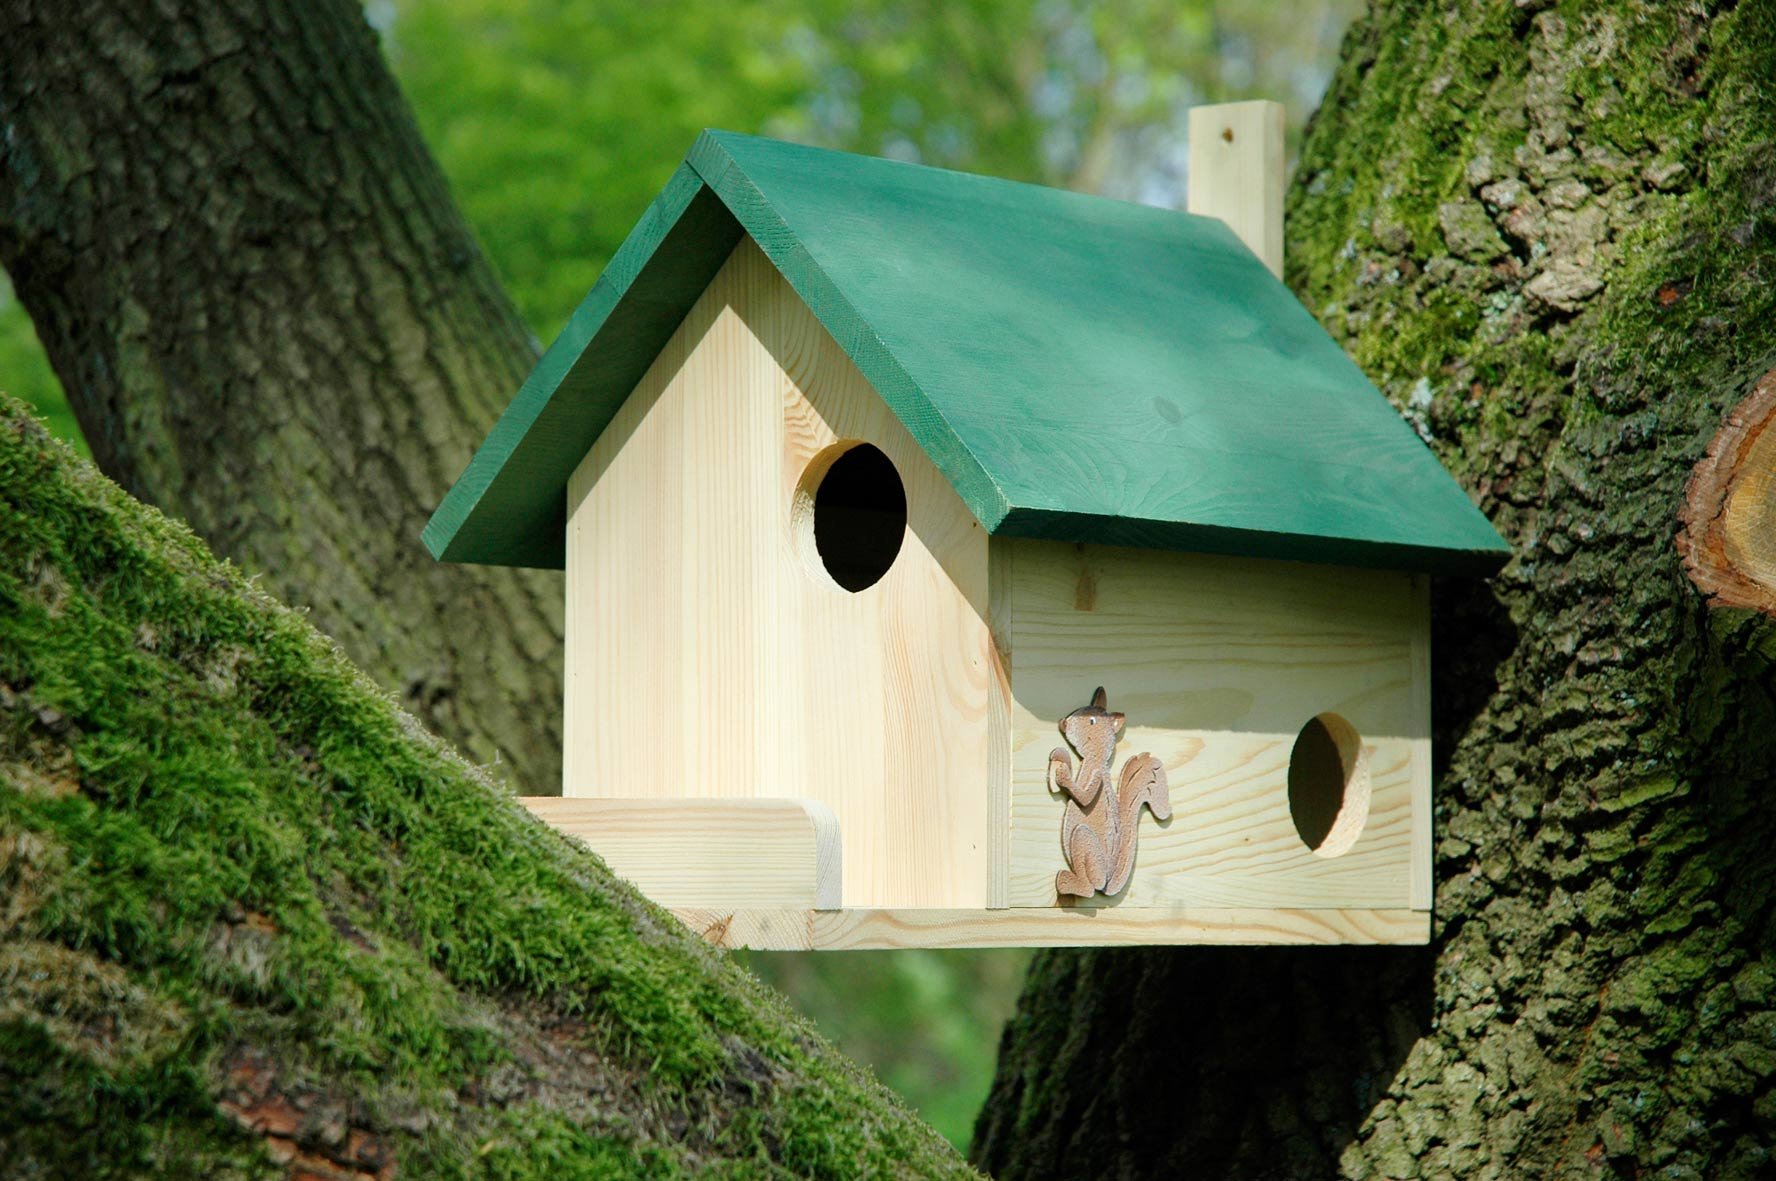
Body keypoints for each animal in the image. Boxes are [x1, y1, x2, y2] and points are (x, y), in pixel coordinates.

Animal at [1048, 687, 1199, 899]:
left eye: (1091, 721)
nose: (1063, 722)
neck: (1094, 760)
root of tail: (1108, 882)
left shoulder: (1097, 777)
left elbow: (1085, 798)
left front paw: (1063, 776)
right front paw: (1060, 757)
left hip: (1083, 839)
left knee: (1090, 889)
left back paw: (1067, 882)